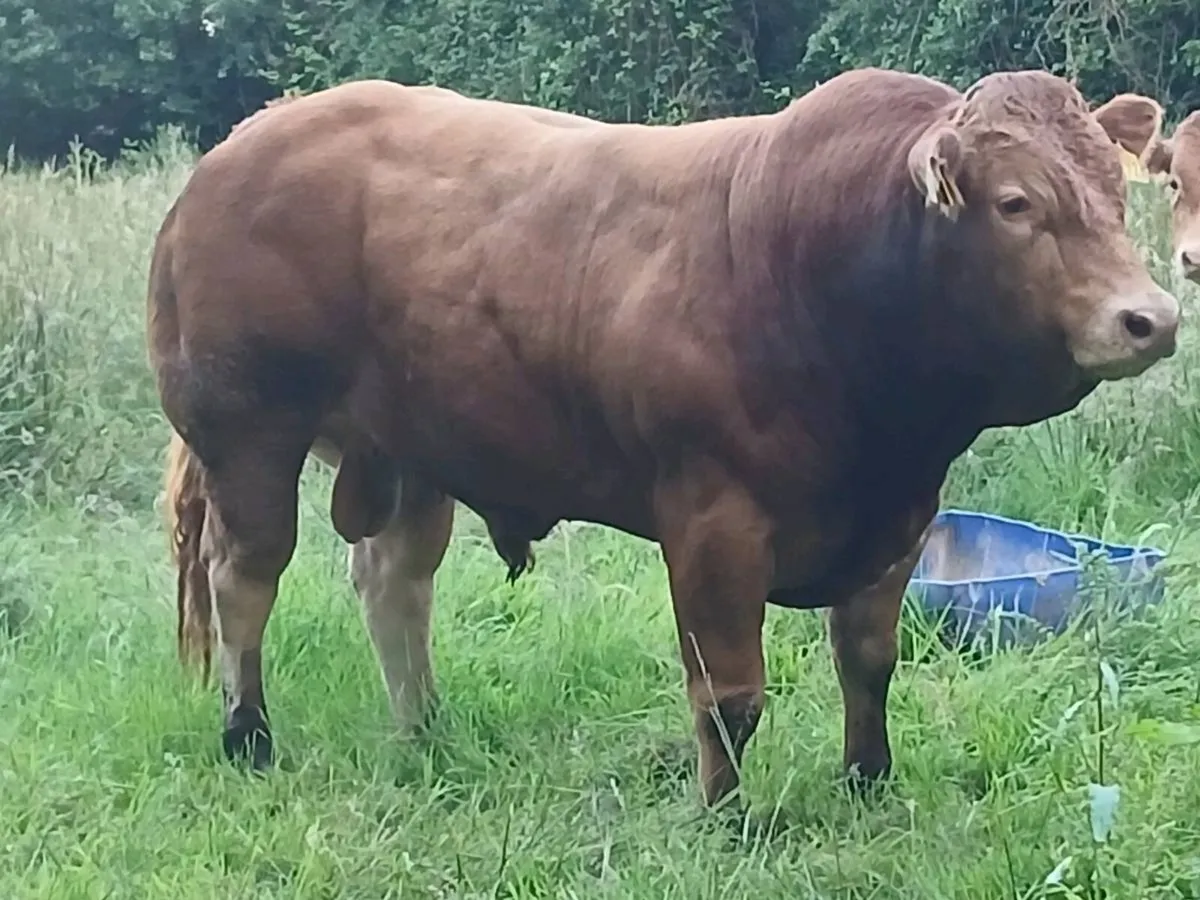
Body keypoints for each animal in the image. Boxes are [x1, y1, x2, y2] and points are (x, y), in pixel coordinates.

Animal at [150, 67, 1180, 810]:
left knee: (392, 581)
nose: (1151, 318)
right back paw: (248, 737)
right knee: (244, 578)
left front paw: (868, 784)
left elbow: (867, 662)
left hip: (408, 449)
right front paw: (725, 815)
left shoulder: (898, 520)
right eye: (1015, 203)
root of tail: (242, 143)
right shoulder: (711, 525)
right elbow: (731, 695)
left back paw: (424, 728)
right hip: (250, 436)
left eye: (1113, 191)